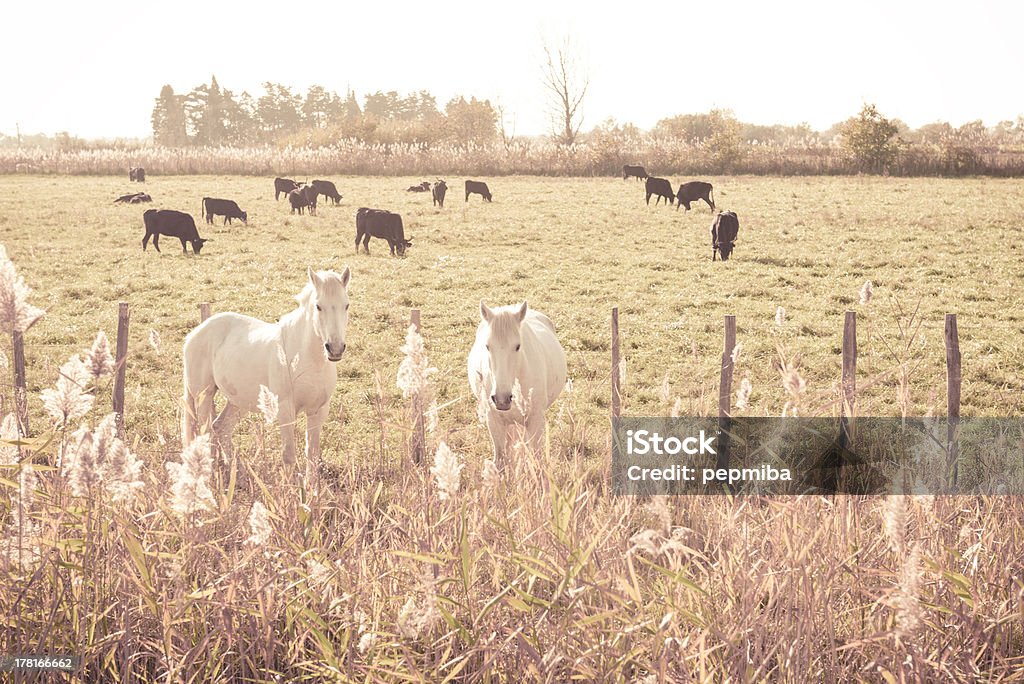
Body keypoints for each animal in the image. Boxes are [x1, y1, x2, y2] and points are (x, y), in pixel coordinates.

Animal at [179, 266, 348, 464]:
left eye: (346, 305)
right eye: (318, 306)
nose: (335, 349)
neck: (310, 361)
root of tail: (196, 333)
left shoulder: (318, 411)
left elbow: (312, 455)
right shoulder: (285, 410)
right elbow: (289, 455)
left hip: (238, 401)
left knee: (221, 427)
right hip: (203, 396)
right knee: (205, 432)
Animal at [466, 301, 569, 456]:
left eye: (518, 346)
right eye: (487, 346)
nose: (502, 399)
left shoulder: (535, 420)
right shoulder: (494, 421)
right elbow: (501, 457)